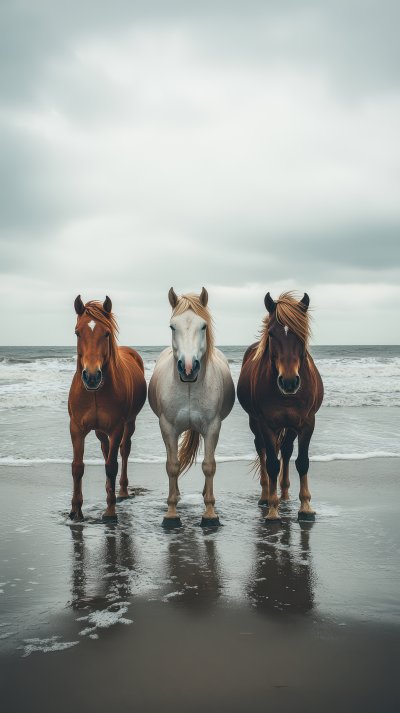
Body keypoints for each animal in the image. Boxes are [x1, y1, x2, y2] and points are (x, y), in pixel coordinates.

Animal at [68, 295, 147, 521]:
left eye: (107, 333)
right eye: (77, 332)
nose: (92, 376)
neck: (95, 392)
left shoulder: (116, 428)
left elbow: (112, 467)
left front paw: (110, 511)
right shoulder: (76, 428)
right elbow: (77, 467)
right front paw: (75, 510)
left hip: (129, 424)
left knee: (124, 450)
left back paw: (121, 491)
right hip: (99, 430)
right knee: (105, 448)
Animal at [148, 287, 235, 528]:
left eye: (203, 326)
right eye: (172, 326)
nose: (188, 368)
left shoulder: (213, 428)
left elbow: (209, 466)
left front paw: (210, 514)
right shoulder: (167, 428)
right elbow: (172, 465)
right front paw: (171, 514)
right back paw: (177, 495)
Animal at [237, 291, 324, 522]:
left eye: (301, 332)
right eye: (272, 334)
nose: (289, 382)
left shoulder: (306, 423)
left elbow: (302, 461)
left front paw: (306, 507)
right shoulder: (267, 424)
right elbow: (272, 464)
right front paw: (273, 510)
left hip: (291, 425)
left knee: (285, 450)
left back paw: (284, 494)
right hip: (255, 423)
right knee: (263, 450)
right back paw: (266, 496)